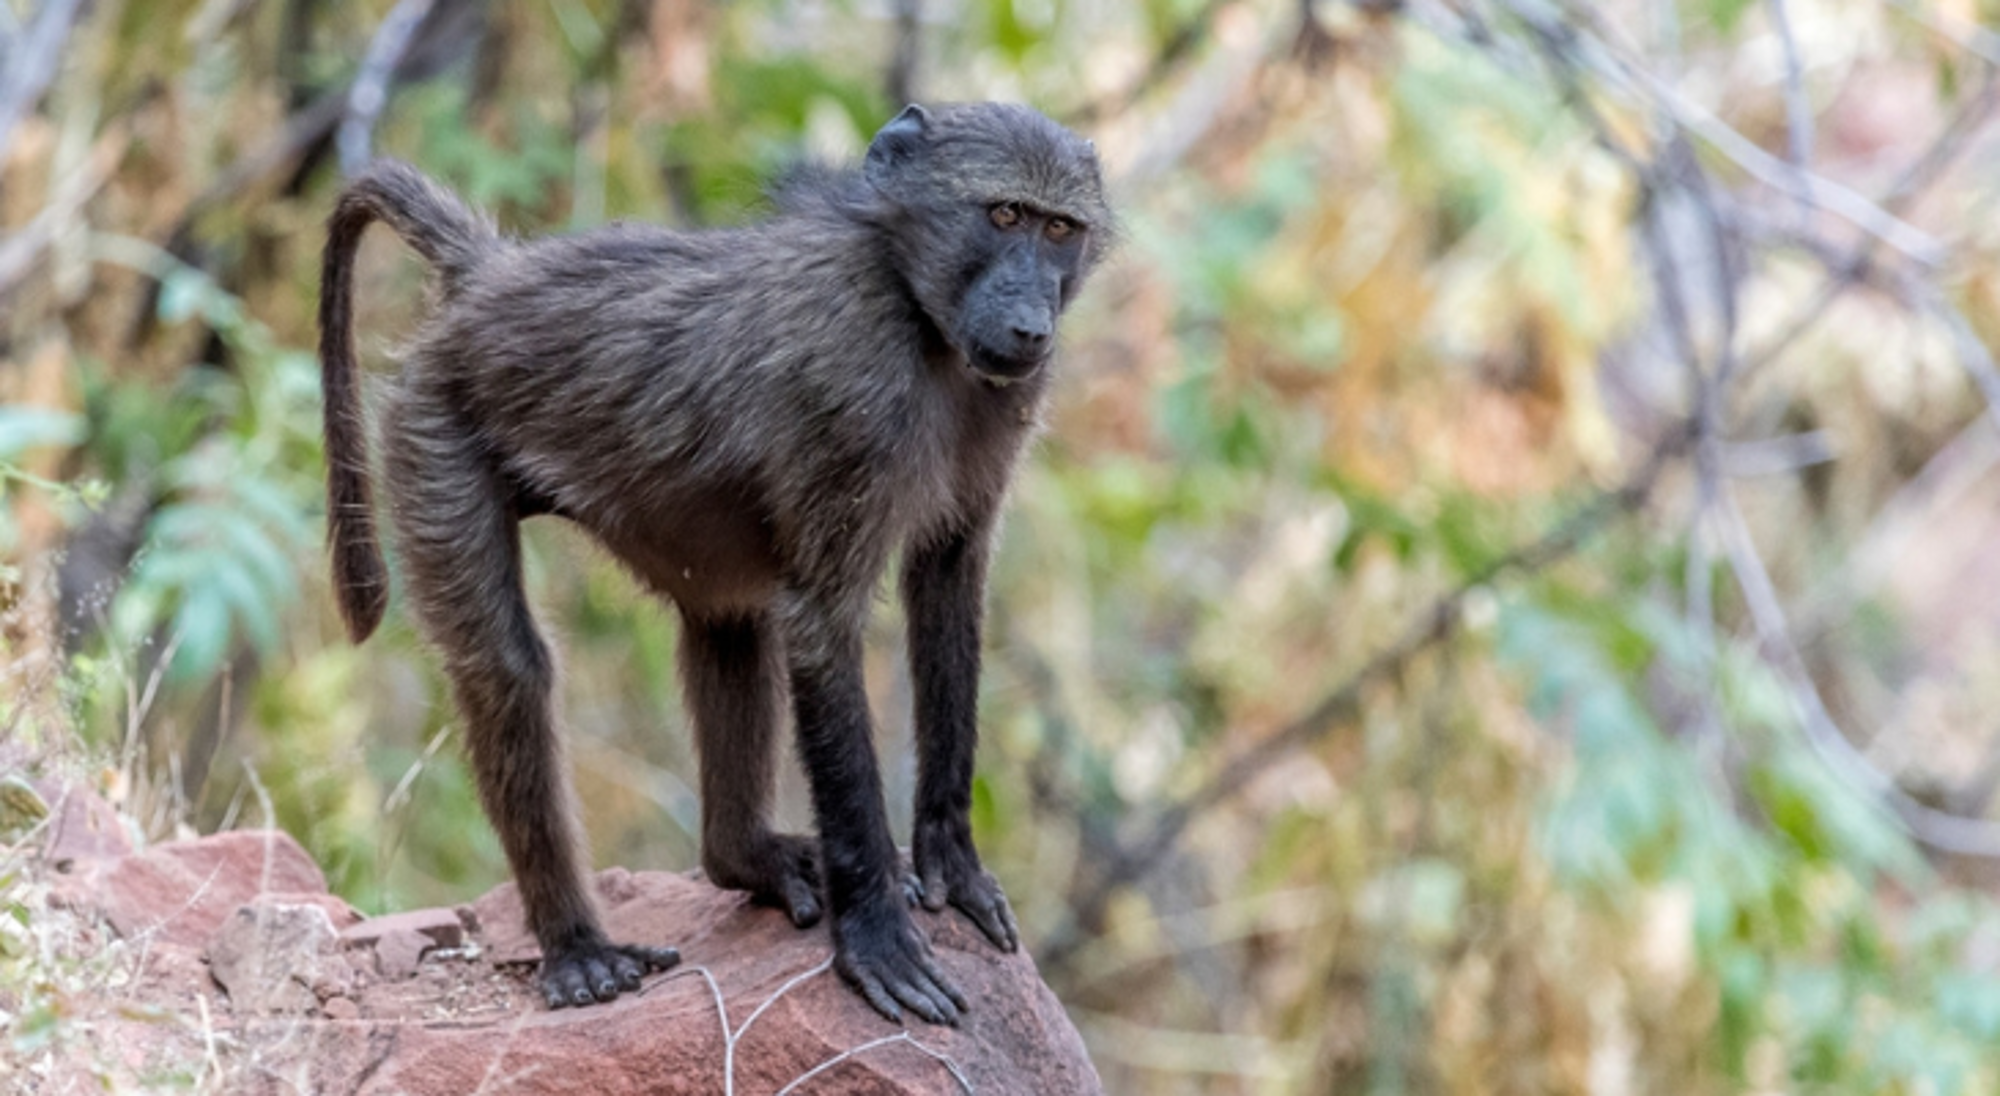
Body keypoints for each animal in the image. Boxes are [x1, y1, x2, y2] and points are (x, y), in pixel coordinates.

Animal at [317, 102, 1110, 1024]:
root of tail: (495, 277)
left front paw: (953, 863)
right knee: (508, 668)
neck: (919, 316)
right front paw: (875, 934)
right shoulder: (853, 387)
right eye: (1004, 215)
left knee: (728, 621)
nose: (1031, 325)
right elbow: (821, 624)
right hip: (432, 422)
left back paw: (743, 857)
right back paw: (578, 949)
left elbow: (946, 588)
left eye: (1060, 230)